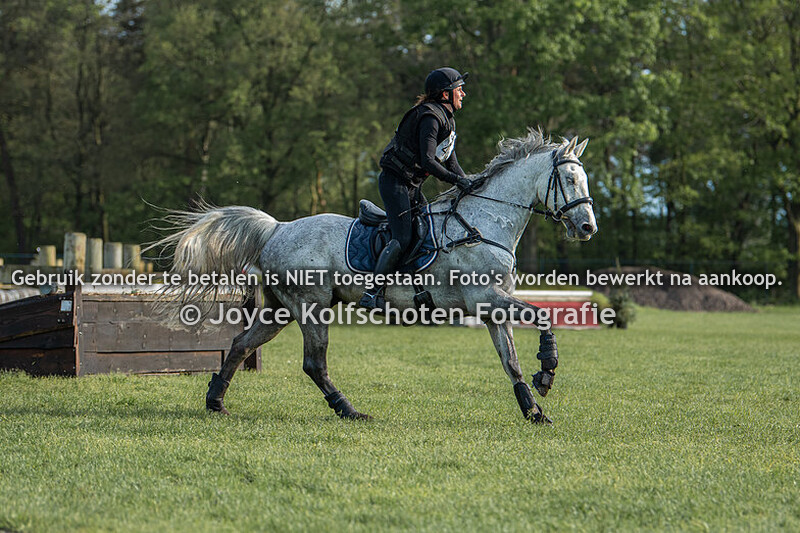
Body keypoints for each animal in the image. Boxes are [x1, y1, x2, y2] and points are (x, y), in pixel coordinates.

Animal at [150, 130, 597, 424]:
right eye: (569, 179)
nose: (587, 228)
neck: (485, 222)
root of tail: (277, 228)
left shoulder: (492, 308)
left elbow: (511, 362)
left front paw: (533, 407)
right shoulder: (486, 299)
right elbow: (542, 316)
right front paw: (547, 372)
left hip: (280, 309)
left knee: (242, 344)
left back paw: (216, 402)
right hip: (312, 307)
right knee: (314, 363)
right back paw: (348, 410)